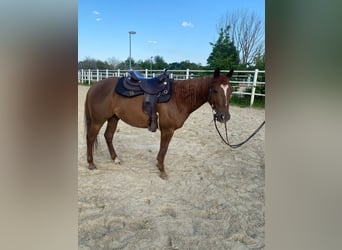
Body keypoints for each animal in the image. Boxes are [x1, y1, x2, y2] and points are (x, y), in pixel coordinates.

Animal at [84, 67, 234, 179]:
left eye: (230, 90)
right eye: (214, 90)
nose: (224, 116)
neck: (178, 98)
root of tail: (94, 86)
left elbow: (163, 149)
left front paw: (158, 165)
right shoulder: (167, 130)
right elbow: (163, 149)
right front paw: (162, 171)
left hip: (113, 118)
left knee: (108, 136)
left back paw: (115, 159)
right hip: (98, 121)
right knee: (90, 137)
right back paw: (91, 164)